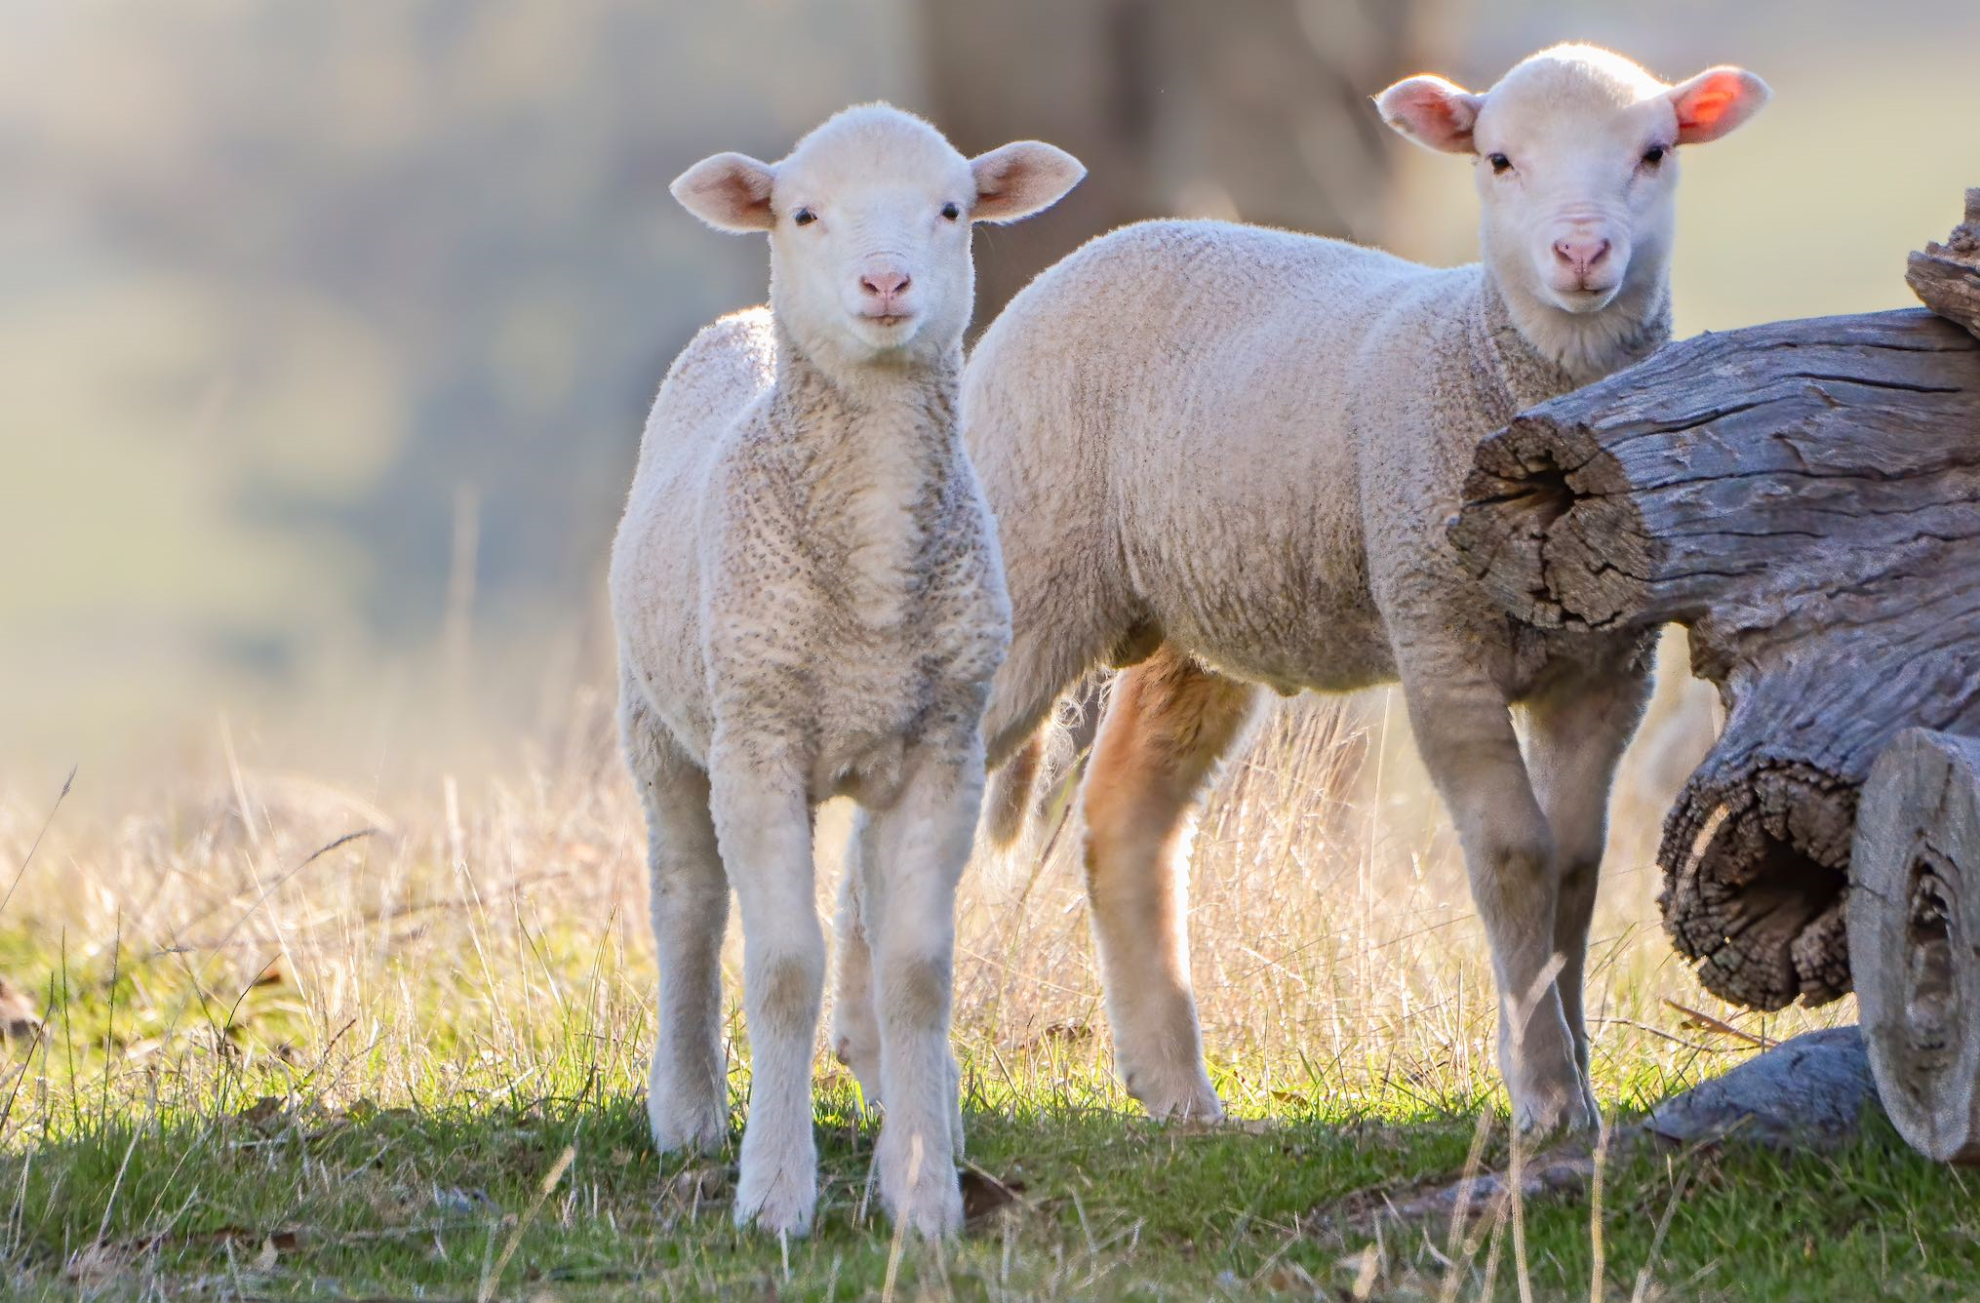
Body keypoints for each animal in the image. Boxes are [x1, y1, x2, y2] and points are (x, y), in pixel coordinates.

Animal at [609, 106, 1085, 1235]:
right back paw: (687, 1106)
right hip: (662, 723)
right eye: (803, 213)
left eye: (952, 208)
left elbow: (919, 971)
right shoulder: (760, 737)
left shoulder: (946, 747)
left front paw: (922, 1195)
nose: (884, 281)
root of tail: (744, 319)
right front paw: (775, 1193)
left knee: (863, 900)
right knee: (689, 901)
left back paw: (920, 1104)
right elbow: (784, 966)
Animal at [827, 43, 1774, 1140]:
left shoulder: (1608, 666)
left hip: (1195, 615)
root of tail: (1094, 249)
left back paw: (1173, 1085)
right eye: (1498, 159)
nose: (1581, 250)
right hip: (1031, 559)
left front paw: (1575, 1077)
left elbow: (1577, 860)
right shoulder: (1437, 629)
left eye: (1655, 152)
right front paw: (1541, 1088)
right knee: (896, 822)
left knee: (1129, 821)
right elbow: (1515, 853)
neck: (1489, 362)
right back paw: (874, 1060)